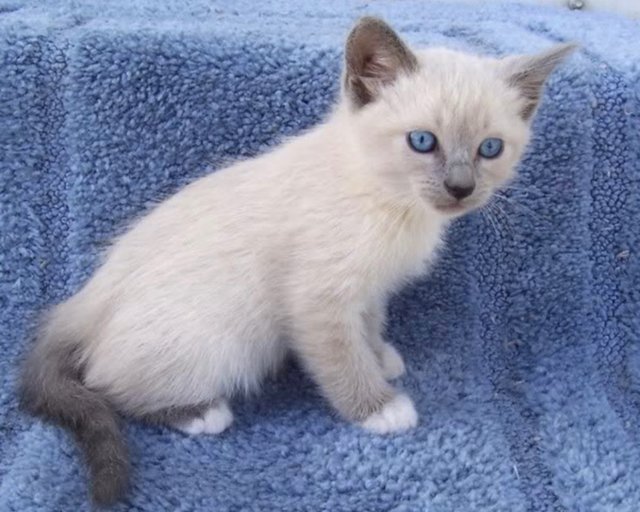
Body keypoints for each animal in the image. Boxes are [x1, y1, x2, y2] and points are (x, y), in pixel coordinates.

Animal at [20, 15, 576, 504]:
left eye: (490, 149)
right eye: (423, 141)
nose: (460, 189)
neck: (392, 202)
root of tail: (82, 302)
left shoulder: (367, 290)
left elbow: (369, 327)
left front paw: (381, 358)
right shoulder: (318, 300)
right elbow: (341, 360)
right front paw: (378, 408)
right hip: (217, 342)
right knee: (106, 386)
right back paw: (201, 414)